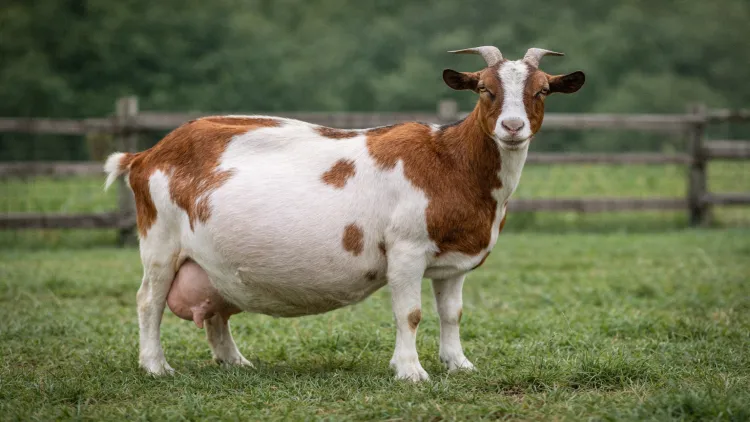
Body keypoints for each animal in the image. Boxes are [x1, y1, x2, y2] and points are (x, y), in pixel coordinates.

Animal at [104, 46, 585, 381]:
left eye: (541, 90)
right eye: (485, 88)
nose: (512, 127)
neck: (450, 161)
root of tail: (147, 153)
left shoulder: (454, 262)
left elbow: (452, 314)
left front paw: (458, 364)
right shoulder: (406, 249)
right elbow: (410, 314)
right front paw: (411, 371)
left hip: (212, 261)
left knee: (216, 310)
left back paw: (235, 362)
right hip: (160, 242)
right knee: (149, 300)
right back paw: (156, 366)